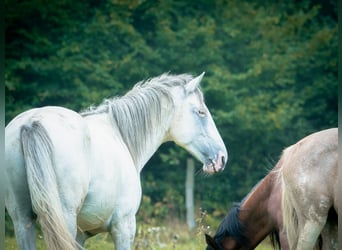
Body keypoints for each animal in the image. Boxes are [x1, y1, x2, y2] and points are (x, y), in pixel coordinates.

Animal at [4, 73, 227, 250]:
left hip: (22, 220)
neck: (121, 136)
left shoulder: (81, 234)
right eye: (201, 112)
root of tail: (32, 123)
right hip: (63, 218)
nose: (222, 157)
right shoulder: (124, 226)